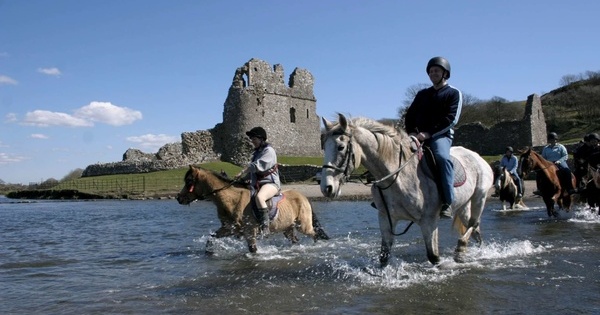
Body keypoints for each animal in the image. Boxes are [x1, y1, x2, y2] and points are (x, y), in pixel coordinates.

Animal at [176, 167, 330, 253]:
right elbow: (210, 239)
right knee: (296, 240)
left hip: (303, 225)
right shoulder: (228, 229)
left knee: (315, 234)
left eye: (189, 181)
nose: (179, 198)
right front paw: (209, 252)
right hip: (288, 228)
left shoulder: (250, 232)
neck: (231, 199)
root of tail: (304, 197)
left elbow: (253, 250)